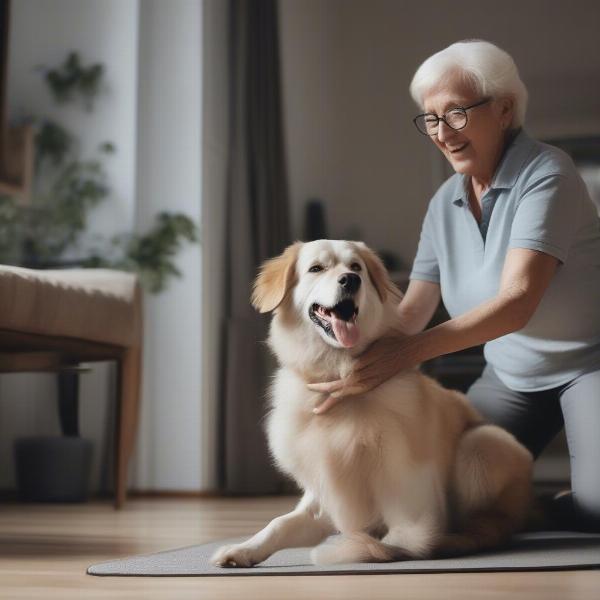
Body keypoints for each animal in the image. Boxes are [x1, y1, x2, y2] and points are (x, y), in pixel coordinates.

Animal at [212, 239, 536, 568]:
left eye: (356, 267)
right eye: (316, 268)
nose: (350, 280)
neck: (338, 377)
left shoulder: (409, 494)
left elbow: (398, 537)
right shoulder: (325, 492)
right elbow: (279, 523)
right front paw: (243, 550)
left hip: (482, 443)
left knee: (489, 520)